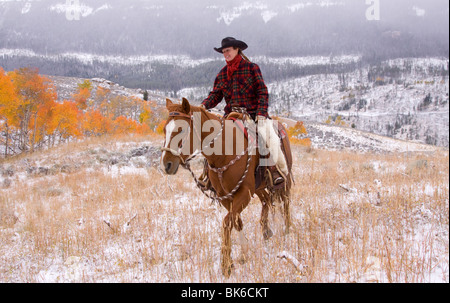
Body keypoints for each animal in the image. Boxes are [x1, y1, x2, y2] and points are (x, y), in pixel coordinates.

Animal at [160, 98, 294, 278]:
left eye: (181, 129)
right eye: (164, 130)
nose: (167, 165)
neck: (224, 152)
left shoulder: (244, 192)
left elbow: (226, 222)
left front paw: (226, 265)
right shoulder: (226, 195)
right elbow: (236, 222)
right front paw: (243, 254)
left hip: (284, 179)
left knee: (285, 203)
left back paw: (287, 231)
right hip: (258, 187)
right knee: (266, 200)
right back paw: (266, 231)